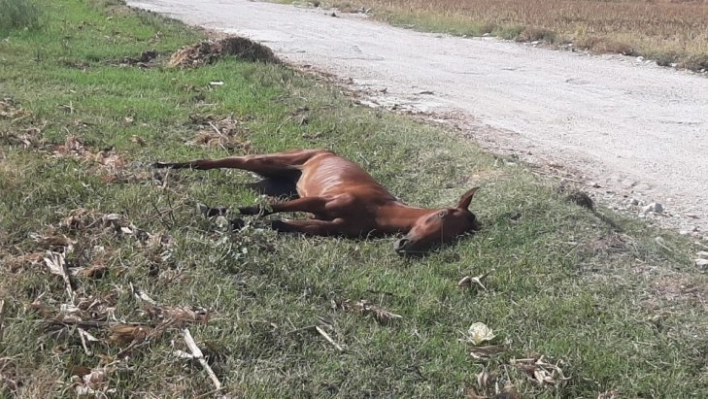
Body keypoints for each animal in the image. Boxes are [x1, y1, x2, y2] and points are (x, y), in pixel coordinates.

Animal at [151, 148, 478, 255]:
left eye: (450, 239)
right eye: (443, 215)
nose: (404, 246)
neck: (378, 210)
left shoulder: (324, 225)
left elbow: (276, 222)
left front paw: (228, 220)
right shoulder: (318, 202)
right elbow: (267, 209)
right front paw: (209, 209)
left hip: (278, 178)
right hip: (268, 161)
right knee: (217, 161)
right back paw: (160, 166)